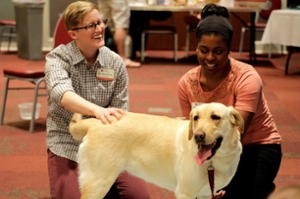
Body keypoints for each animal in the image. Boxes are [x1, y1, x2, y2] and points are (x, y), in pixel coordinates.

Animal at [69, 102, 243, 198]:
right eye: (196, 118)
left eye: (215, 117)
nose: (198, 136)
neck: (215, 160)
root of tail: (94, 122)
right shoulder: (185, 193)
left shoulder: (205, 194)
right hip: (98, 183)